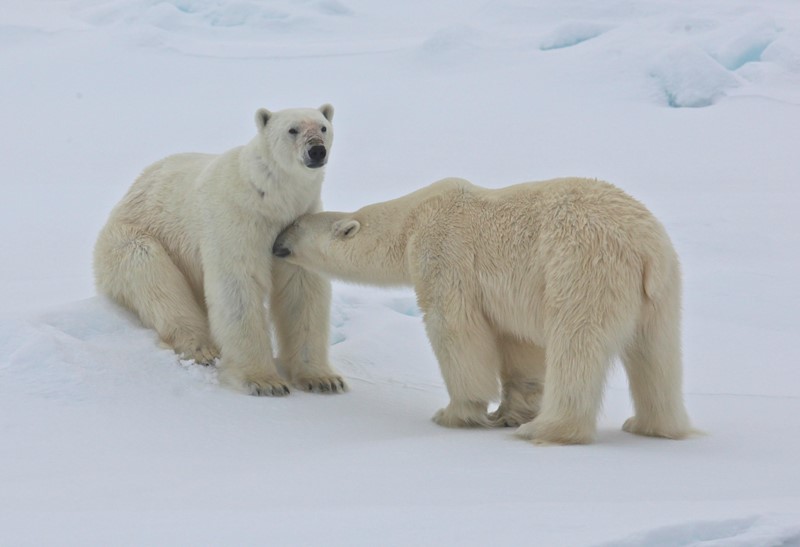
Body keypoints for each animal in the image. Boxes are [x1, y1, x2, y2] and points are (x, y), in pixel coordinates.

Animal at [94, 104, 347, 396]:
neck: (268, 198)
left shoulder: (297, 225)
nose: (316, 150)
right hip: (132, 238)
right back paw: (202, 349)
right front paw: (264, 382)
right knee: (155, 279)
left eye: (323, 127)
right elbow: (237, 287)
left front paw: (323, 379)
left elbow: (302, 291)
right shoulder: (237, 220)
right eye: (292, 129)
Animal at [272, 177, 693, 444]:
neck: (412, 219)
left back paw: (546, 430)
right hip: (661, 289)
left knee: (577, 344)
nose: (275, 244)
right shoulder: (507, 295)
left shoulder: (443, 253)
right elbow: (517, 343)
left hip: (583, 267)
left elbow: (455, 329)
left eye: (295, 226)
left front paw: (456, 414)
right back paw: (651, 424)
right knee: (656, 354)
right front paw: (508, 413)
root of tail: (643, 248)